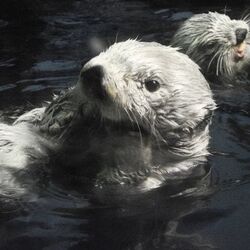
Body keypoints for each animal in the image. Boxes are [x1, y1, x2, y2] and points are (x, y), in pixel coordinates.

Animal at [0, 40, 216, 194]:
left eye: (152, 84)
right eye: (108, 52)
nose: (94, 73)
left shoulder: (167, 173)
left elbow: (114, 184)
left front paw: (131, 139)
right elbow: (45, 118)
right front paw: (72, 108)